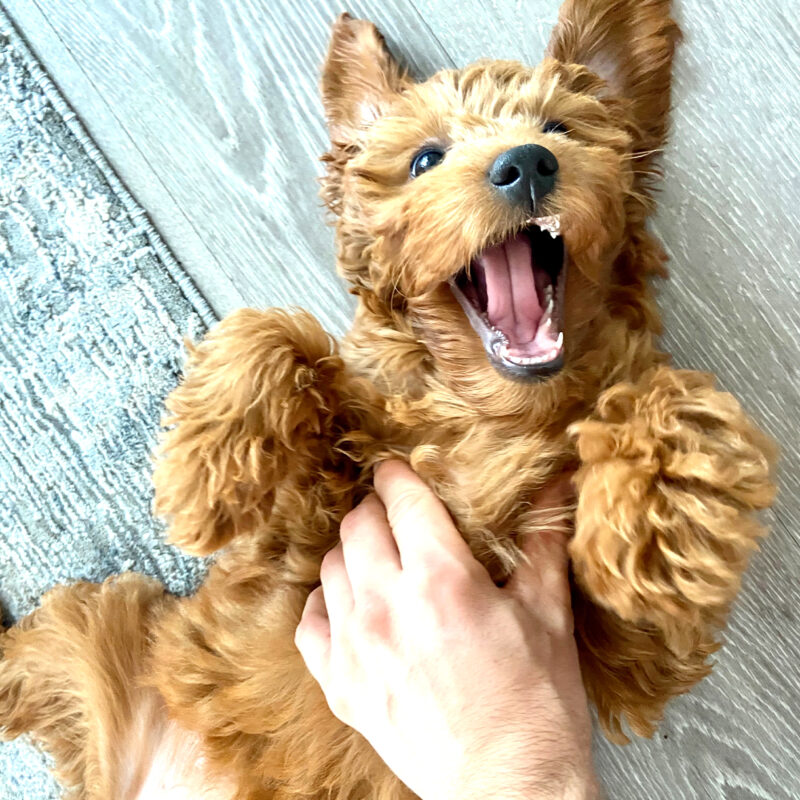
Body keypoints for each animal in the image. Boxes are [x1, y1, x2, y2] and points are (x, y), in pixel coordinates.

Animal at [0, 1, 776, 800]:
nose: (527, 162)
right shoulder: (306, 530)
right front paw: (203, 474)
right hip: (94, 640)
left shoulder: (622, 653)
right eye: (426, 160)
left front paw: (662, 531)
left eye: (561, 127)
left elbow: (666, 401)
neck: (488, 417)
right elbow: (267, 331)